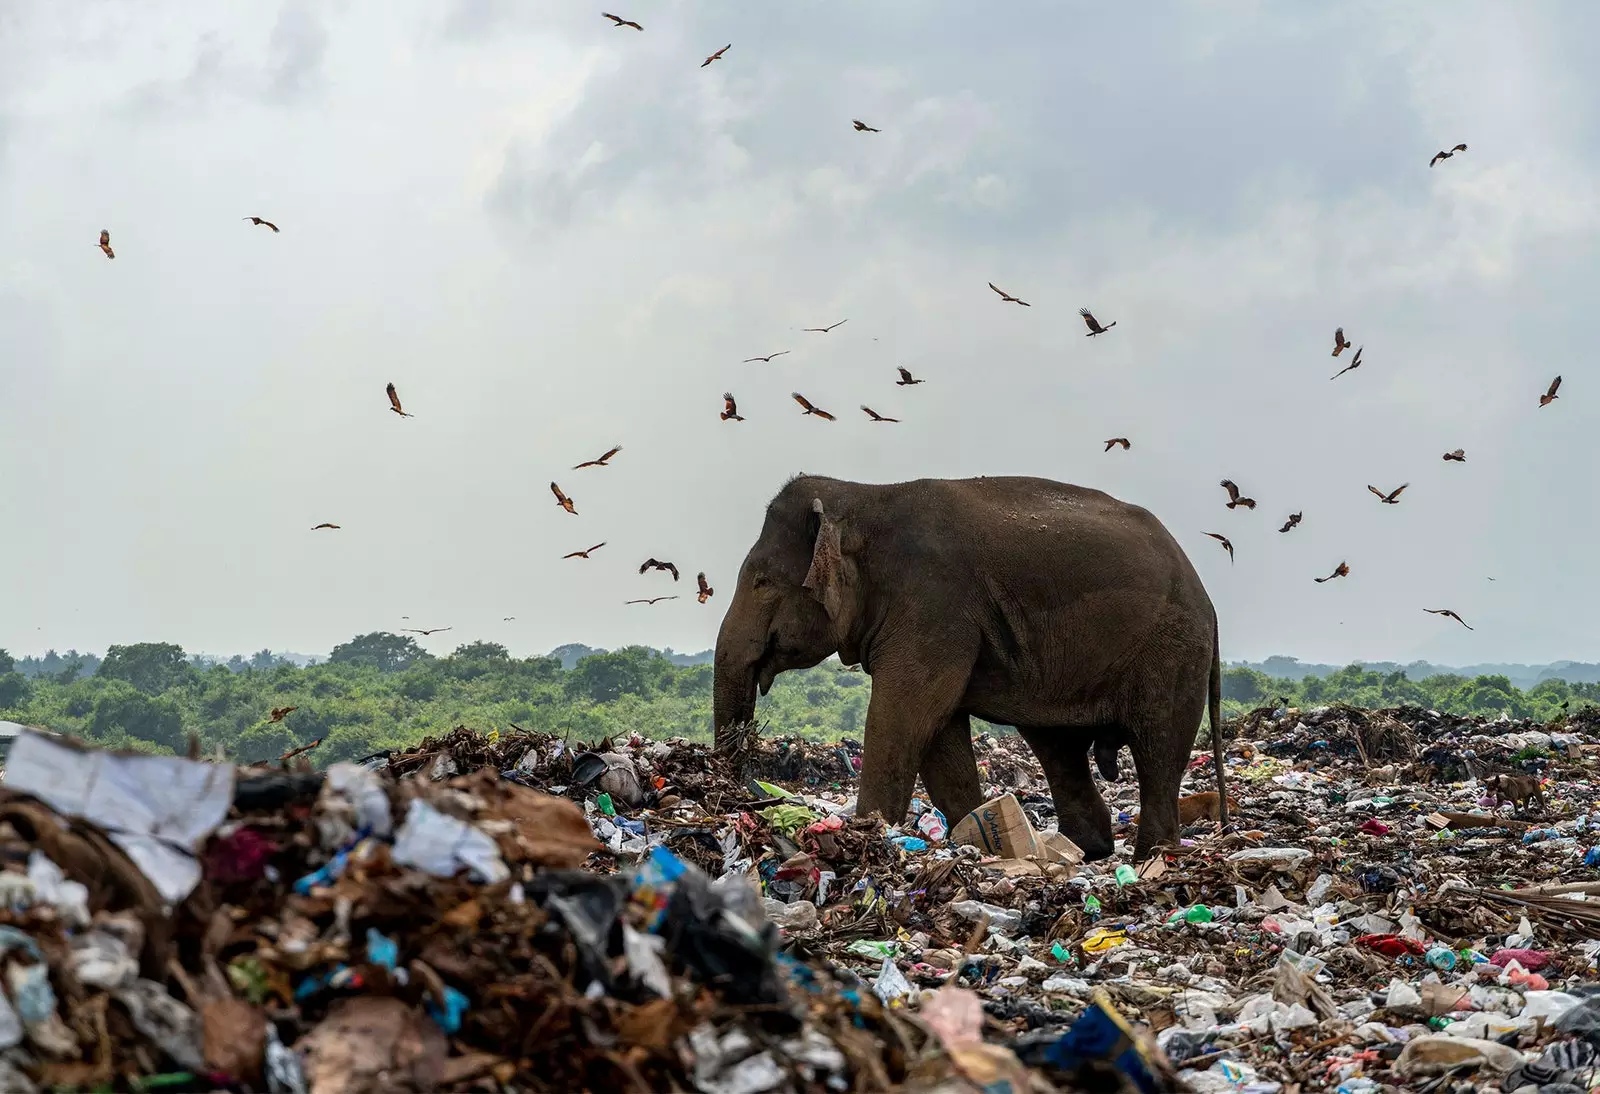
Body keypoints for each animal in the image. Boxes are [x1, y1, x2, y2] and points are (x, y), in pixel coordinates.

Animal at [713, 473, 1222, 857]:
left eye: (761, 581)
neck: (864, 496)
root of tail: (1206, 595)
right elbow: (939, 734)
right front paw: (973, 839)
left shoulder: (935, 603)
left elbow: (902, 716)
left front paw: (872, 833)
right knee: (1058, 747)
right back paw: (1083, 851)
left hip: (1174, 649)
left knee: (1158, 747)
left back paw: (1153, 855)